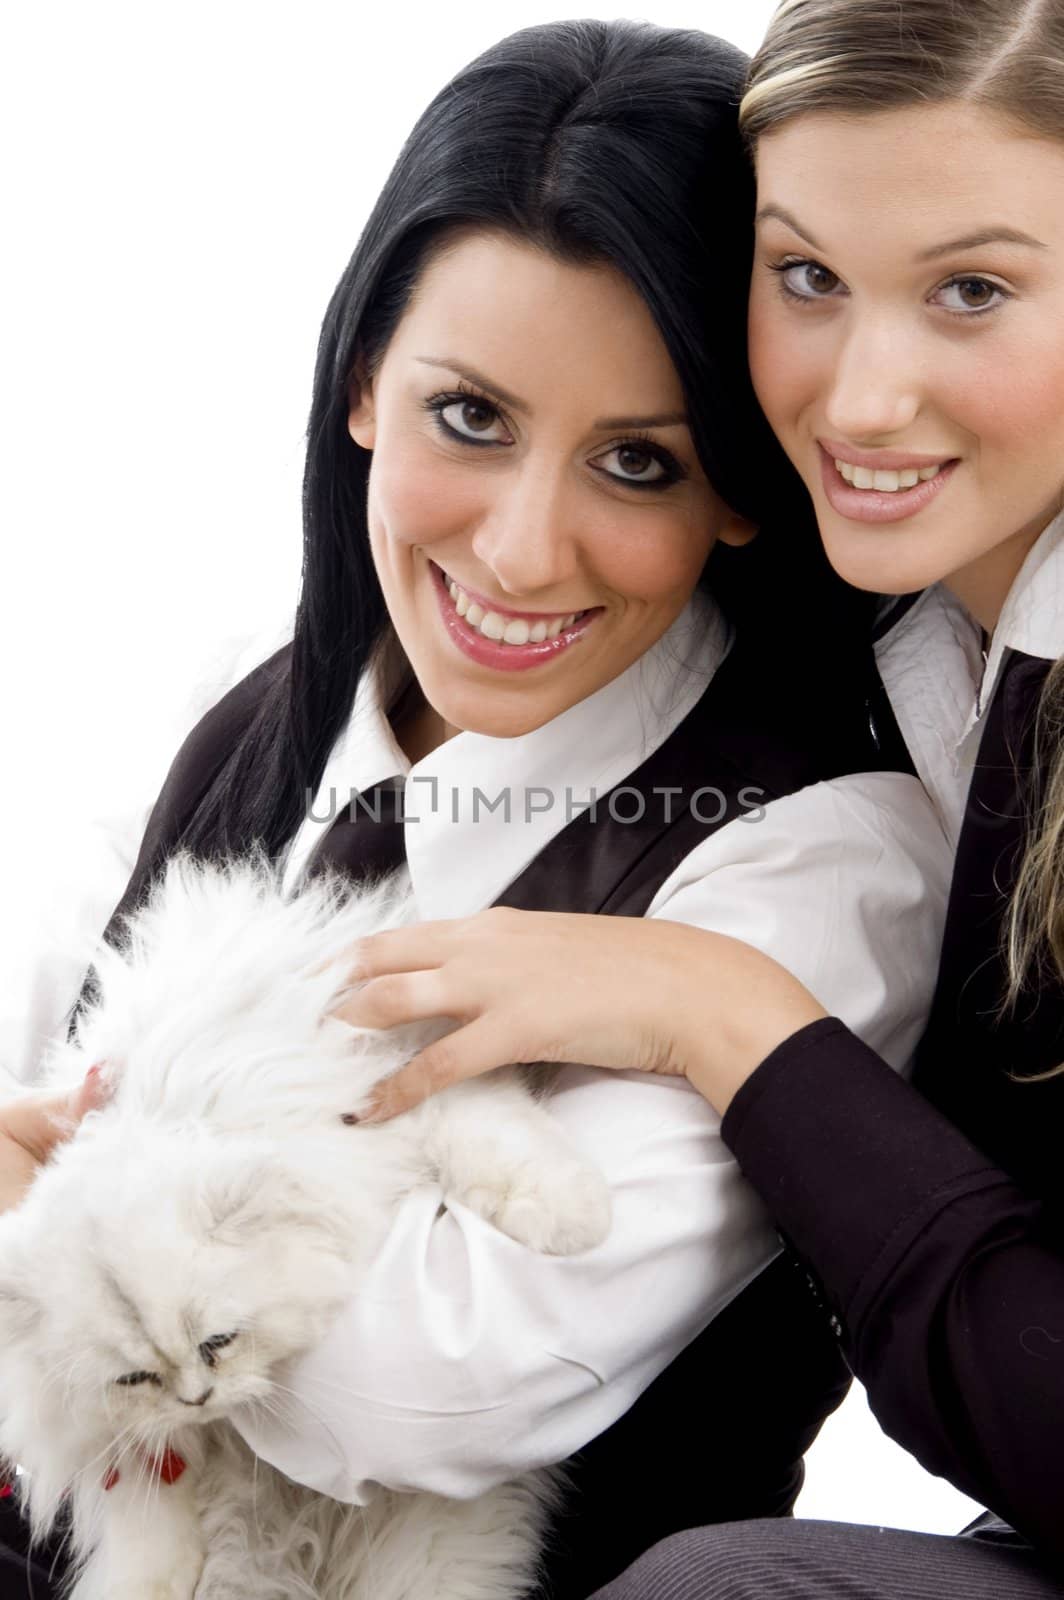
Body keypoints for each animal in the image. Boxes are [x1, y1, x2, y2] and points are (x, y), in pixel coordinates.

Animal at [0, 864, 614, 1600]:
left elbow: (489, 1135)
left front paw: (573, 1219)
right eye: (135, 1379)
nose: (198, 1399)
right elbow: (148, 1508)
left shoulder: (398, 1081)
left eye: (218, 1343)